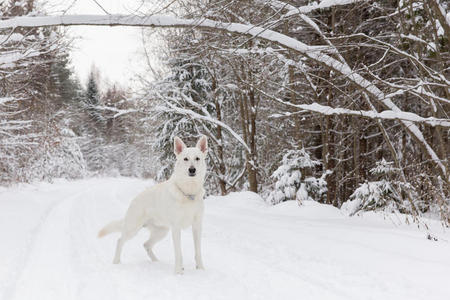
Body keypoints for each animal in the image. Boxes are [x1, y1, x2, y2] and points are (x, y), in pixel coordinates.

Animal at [98, 136, 207, 274]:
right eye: (185, 159)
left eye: (197, 158)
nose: (192, 170)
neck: (188, 193)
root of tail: (134, 200)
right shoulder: (176, 228)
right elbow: (178, 253)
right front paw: (178, 271)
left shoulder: (197, 226)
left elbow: (198, 252)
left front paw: (201, 269)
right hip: (133, 229)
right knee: (120, 241)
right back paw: (116, 262)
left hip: (161, 232)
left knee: (146, 244)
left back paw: (156, 262)